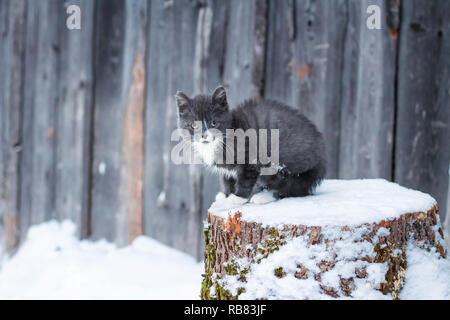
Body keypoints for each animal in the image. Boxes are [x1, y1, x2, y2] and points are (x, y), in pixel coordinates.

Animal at [174, 86, 326, 204]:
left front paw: (237, 198)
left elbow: (246, 177)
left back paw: (264, 197)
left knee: (289, 186)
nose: (204, 135)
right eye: (193, 125)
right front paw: (226, 194)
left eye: (214, 123)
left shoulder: (250, 154)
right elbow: (226, 177)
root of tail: (321, 158)